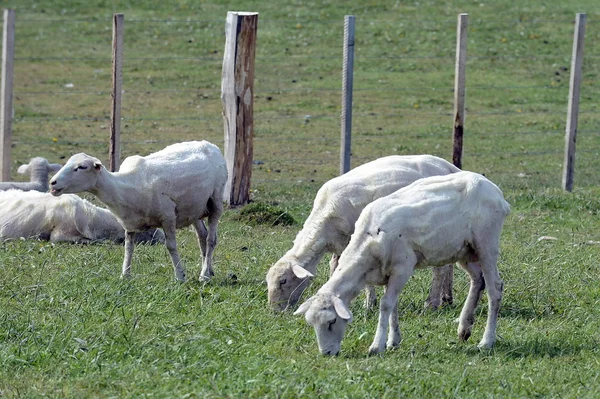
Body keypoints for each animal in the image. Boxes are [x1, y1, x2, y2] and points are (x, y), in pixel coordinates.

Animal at [48, 141, 227, 282]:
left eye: (81, 167)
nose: (52, 183)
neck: (125, 186)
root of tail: (211, 145)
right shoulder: (129, 222)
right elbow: (129, 248)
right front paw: (125, 275)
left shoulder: (168, 216)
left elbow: (171, 246)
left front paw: (180, 276)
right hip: (195, 209)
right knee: (202, 237)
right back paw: (208, 270)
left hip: (216, 200)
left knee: (211, 239)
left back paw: (204, 275)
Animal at [266, 154, 460, 312]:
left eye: (283, 281)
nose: (275, 311)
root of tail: (449, 167)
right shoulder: (340, 244)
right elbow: (335, 267)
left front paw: (369, 304)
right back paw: (446, 298)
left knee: (440, 269)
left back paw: (431, 303)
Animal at [292, 172, 508, 356]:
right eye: (312, 324)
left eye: (331, 322)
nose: (326, 353)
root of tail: (497, 193)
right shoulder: (387, 272)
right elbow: (393, 305)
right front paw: (393, 341)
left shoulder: (402, 268)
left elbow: (386, 304)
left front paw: (376, 346)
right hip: (464, 250)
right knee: (477, 279)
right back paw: (464, 328)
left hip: (486, 243)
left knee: (495, 288)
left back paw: (486, 341)